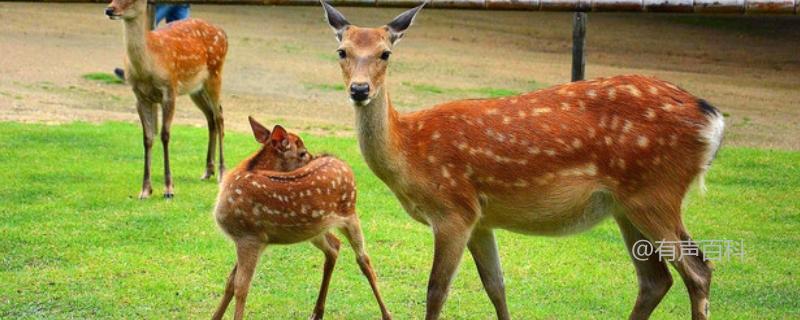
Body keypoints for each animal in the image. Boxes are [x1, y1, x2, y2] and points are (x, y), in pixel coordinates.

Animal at [104, 0, 227, 199]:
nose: (109, 9)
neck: (148, 67)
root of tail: (223, 33)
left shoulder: (169, 90)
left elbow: (165, 135)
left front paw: (169, 188)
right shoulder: (140, 96)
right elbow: (147, 137)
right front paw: (145, 190)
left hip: (215, 73)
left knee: (219, 116)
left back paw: (222, 173)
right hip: (196, 88)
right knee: (210, 117)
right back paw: (208, 171)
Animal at [211, 117, 390, 320]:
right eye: (302, 152)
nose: (313, 157)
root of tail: (340, 161)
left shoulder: (251, 237)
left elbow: (241, 287)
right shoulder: (248, 240)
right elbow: (230, 282)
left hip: (350, 213)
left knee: (363, 259)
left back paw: (387, 314)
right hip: (315, 228)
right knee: (334, 247)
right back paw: (317, 312)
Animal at [320, 3, 724, 320]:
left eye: (385, 53)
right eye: (341, 50)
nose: (359, 89)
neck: (410, 152)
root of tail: (714, 120)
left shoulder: (452, 209)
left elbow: (436, 291)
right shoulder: (479, 218)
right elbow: (496, 285)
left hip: (656, 192)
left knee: (698, 269)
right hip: (627, 206)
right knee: (655, 280)